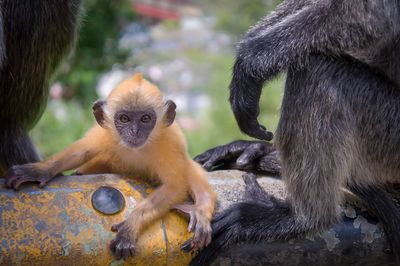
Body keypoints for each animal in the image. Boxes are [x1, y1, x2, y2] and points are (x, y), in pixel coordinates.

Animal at [3, 74, 216, 260]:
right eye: (124, 119)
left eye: (145, 119)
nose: (134, 131)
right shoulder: (104, 133)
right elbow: (79, 152)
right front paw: (38, 170)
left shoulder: (171, 143)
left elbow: (174, 187)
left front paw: (130, 227)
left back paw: (199, 212)